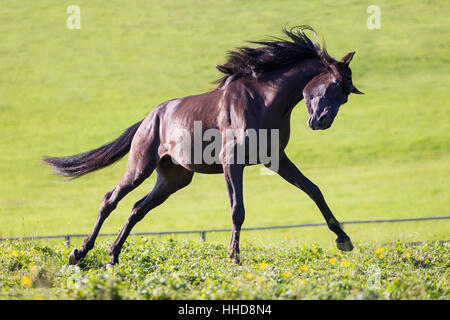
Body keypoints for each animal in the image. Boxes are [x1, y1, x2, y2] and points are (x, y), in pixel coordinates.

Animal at [44, 25, 362, 266]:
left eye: (346, 95)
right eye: (333, 84)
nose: (321, 121)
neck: (264, 101)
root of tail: (150, 117)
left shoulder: (276, 159)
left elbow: (313, 190)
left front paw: (344, 239)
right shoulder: (231, 161)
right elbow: (237, 209)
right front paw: (234, 258)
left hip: (174, 179)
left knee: (137, 208)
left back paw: (113, 256)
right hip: (140, 167)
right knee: (110, 199)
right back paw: (79, 253)